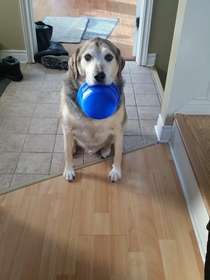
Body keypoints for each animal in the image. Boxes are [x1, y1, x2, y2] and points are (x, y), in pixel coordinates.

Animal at [60, 37, 127, 182]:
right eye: (87, 57)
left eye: (109, 57)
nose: (99, 75)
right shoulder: (67, 128)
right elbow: (67, 154)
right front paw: (68, 170)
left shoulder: (119, 129)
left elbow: (118, 154)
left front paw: (116, 171)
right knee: (71, 144)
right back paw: (73, 147)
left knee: (110, 142)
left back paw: (106, 150)